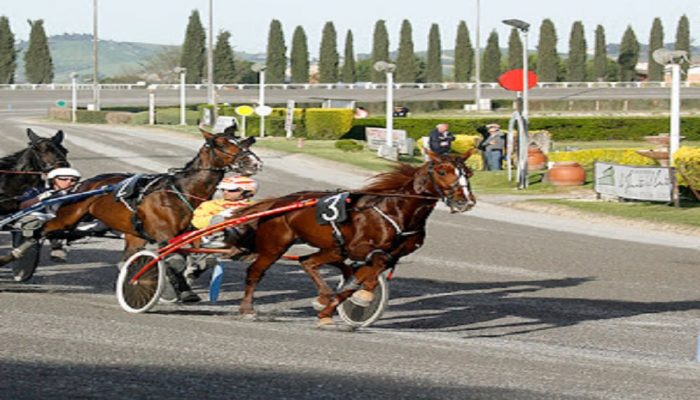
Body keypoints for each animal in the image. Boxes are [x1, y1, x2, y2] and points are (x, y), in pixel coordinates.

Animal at [235, 152, 476, 326]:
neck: (398, 211)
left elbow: (357, 281)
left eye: (468, 172)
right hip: (276, 246)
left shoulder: (391, 255)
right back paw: (247, 310)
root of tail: (279, 203)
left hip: (331, 247)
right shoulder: (361, 249)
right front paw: (363, 297)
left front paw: (328, 312)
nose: (465, 201)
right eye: (443, 171)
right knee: (257, 272)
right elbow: (371, 268)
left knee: (309, 261)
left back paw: (324, 296)